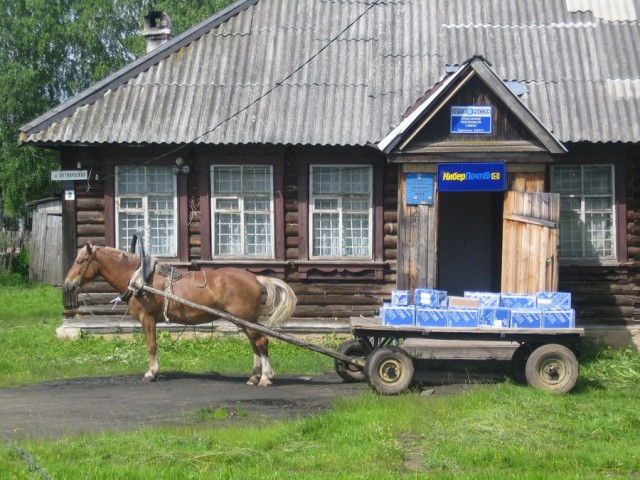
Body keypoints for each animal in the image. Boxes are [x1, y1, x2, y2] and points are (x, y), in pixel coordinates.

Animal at [62, 244, 298, 386]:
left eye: (80, 261)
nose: (67, 285)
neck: (141, 280)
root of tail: (256, 278)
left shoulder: (147, 318)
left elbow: (152, 346)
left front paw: (152, 373)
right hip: (245, 320)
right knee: (255, 345)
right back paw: (254, 376)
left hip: (247, 320)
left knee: (262, 342)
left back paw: (265, 378)